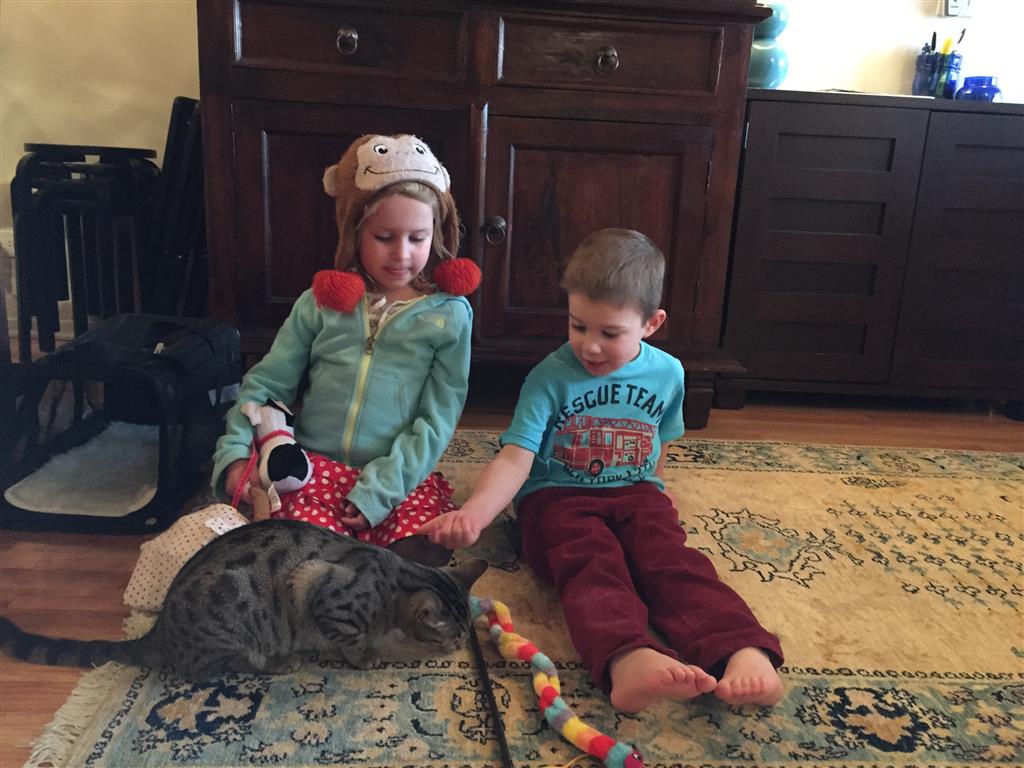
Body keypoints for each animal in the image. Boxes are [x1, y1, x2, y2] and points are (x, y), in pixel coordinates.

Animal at [0, 519, 487, 679]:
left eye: (466, 633)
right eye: (451, 636)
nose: (459, 646)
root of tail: (161, 632)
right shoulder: (322, 591)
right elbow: (350, 640)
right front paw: (365, 657)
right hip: (235, 623)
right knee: (217, 668)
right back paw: (280, 662)